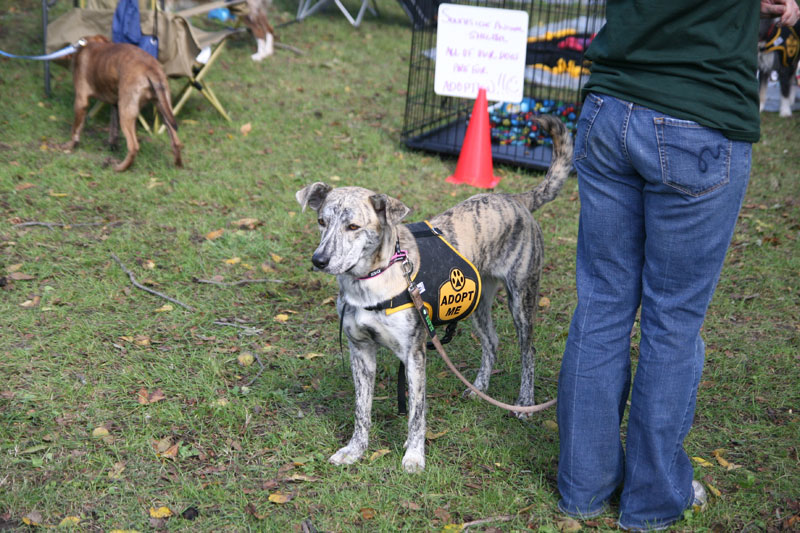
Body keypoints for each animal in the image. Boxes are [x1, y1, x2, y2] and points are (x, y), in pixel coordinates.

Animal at [64, 35, 183, 171]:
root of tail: (150, 68)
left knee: (133, 146)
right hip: (163, 109)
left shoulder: (81, 101)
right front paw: (112, 146)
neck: (90, 44)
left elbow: (75, 129)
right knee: (176, 142)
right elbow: (113, 129)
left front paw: (71, 145)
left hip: (126, 114)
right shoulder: (115, 105)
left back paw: (119, 167)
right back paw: (178, 166)